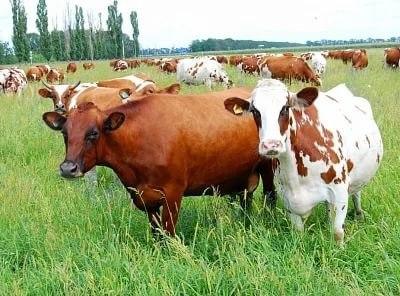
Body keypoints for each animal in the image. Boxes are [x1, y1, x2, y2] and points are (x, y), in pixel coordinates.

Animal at [225, 78, 384, 245]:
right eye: (255, 111)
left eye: (285, 108)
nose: (271, 145)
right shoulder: (288, 197)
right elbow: (298, 232)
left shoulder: (339, 190)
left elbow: (337, 233)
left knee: (356, 194)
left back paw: (359, 214)